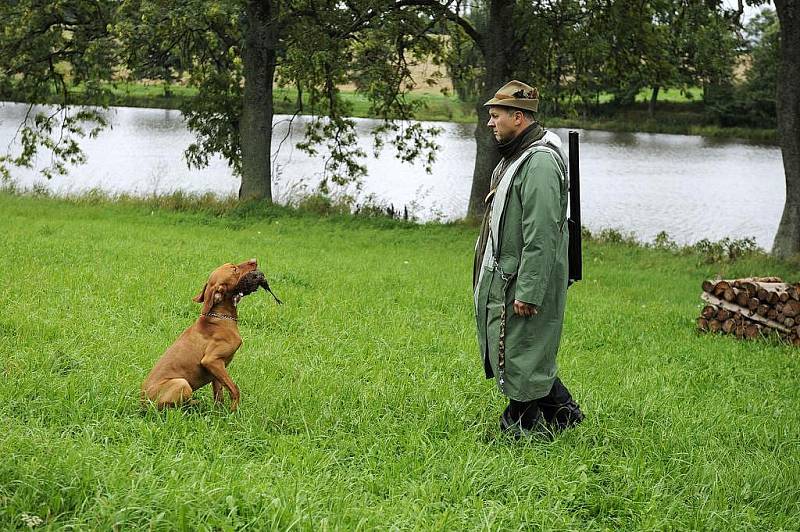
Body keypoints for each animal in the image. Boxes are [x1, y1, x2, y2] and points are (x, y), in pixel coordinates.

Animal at [141, 258, 260, 412]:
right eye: (234, 269)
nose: (254, 260)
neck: (219, 317)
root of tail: (142, 404)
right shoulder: (211, 360)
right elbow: (235, 389)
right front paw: (234, 411)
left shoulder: (217, 370)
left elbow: (219, 395)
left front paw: (220, 413)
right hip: (182, 383)